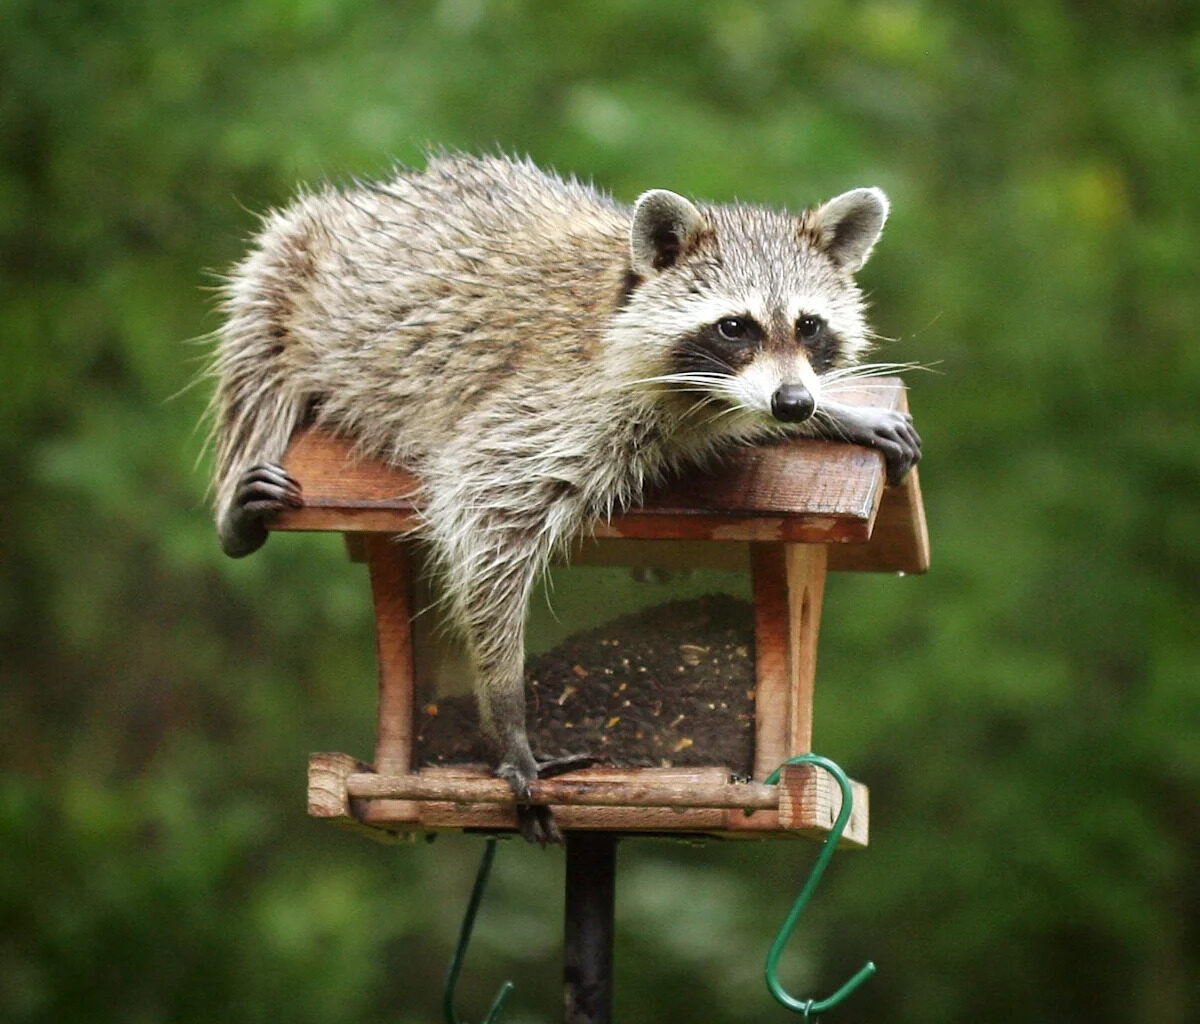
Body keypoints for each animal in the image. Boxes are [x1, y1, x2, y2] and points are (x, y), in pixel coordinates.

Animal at [209, 153, 920, 842]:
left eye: (809, 325)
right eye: (733, 327)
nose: (792, 403)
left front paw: (830, 412)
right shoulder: (553, 404)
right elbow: (485, 512)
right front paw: (507, 711)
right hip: (283, 274)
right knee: (255, 370)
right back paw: (237, 508)